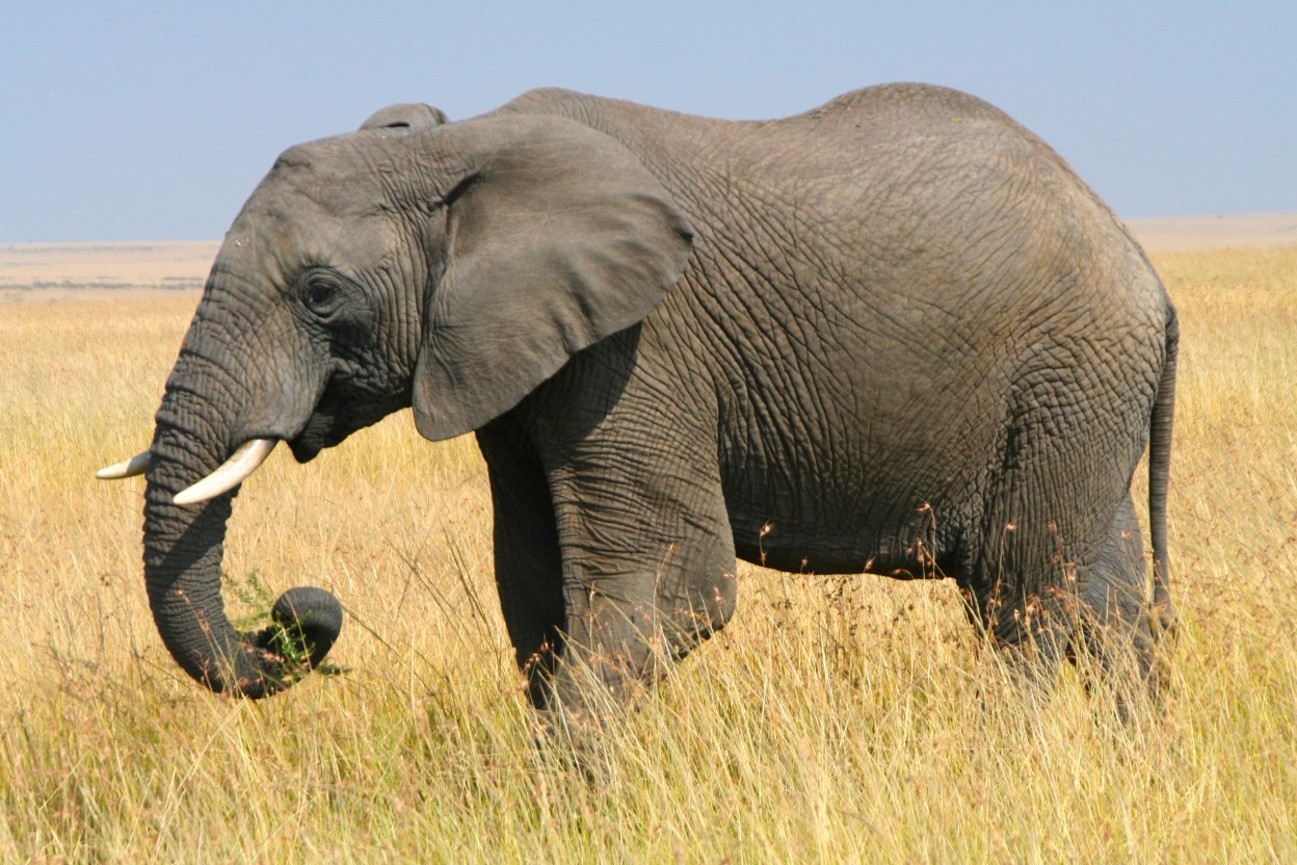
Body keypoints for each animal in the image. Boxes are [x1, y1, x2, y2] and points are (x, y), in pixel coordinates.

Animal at [101, 82, 1177, 715]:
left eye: (321, 294)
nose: (298, 610)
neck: (462, 151)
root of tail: (1146, 274)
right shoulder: (516, 361)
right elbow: (536, 589)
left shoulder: (639, 346)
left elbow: (670, 583)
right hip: (1080, 400)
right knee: (1106, 598)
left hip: (1062, 376)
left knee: (1023, 596)